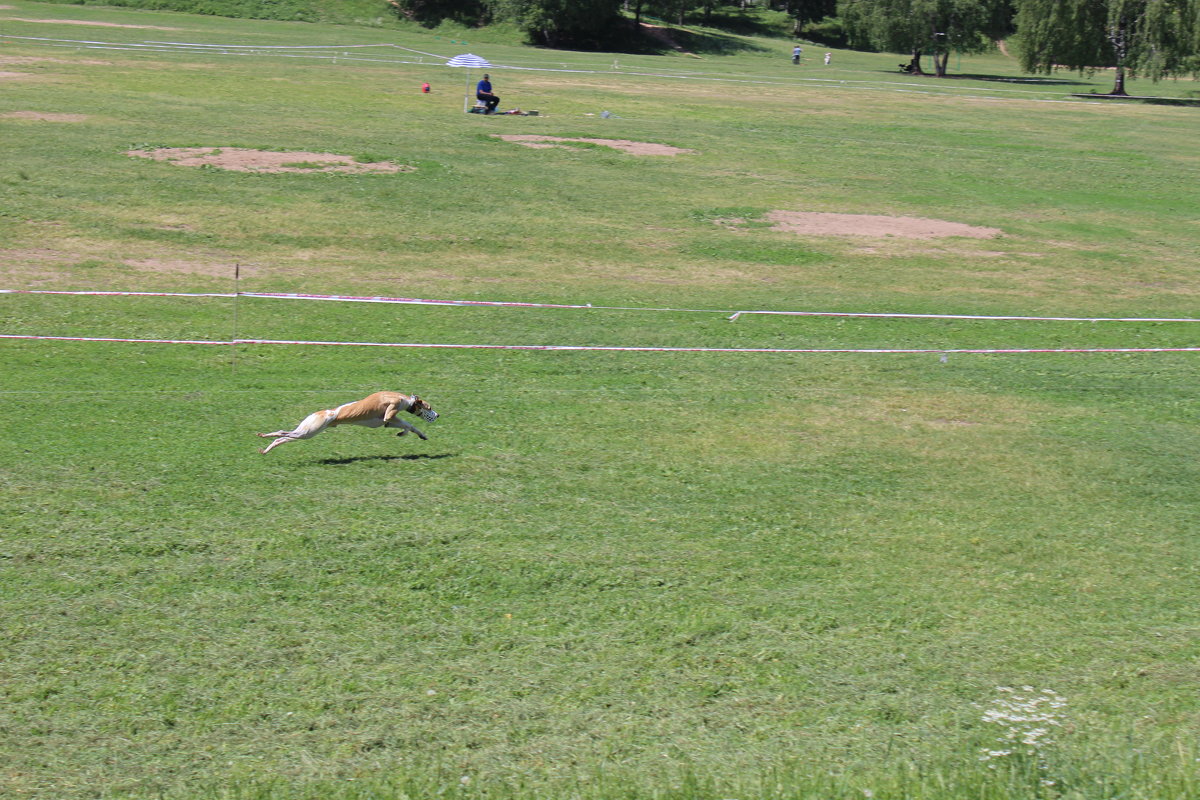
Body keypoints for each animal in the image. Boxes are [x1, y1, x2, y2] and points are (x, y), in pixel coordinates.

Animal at [258, 391, 441, 453]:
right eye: (429, 407)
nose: (438, 415)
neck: (404, 399)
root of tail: (321, 412)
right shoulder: (390, 414)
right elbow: (400, 422)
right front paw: (404, 432)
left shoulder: (389, 421)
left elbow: (409, 426)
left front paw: (417, 435)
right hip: (308, 431)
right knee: (282, 433)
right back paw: (265, 436)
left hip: (306, 432)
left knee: (282, 438)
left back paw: (266, 448)